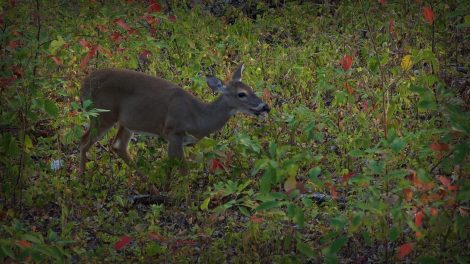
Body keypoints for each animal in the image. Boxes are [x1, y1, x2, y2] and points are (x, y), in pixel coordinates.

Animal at [79, 63, 270, 175]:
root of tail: (84, 85)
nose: (265, 106)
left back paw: (146, 178)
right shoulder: (173, 132)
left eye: (251, 88)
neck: (198, 117)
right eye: (241, 94)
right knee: (84, 141)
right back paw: (82, 178)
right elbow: (181, 168)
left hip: (127, 122)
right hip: (102, 114)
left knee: (118, 146)